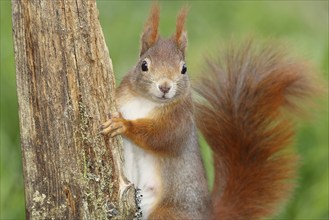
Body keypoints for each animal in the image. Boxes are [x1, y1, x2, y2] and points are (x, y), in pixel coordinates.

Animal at [100, 3, 316, 220]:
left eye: (184, 69)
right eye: (144, 65)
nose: (165, 87)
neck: (145, 101)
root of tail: (210, 214)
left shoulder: (181, 121)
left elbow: (161, 136)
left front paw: (123, 125)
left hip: (169, 213)